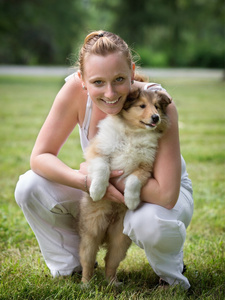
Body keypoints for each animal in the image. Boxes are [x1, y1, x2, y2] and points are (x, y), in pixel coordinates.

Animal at [78, 88, 171, 284]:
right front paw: (97, 191)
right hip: (90, 234)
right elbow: (102, 168)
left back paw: (113, 283)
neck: (133, 132)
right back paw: (86, 284)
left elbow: (133, 181)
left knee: (110, 261)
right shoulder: (98, 151)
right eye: (142, 106)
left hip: (120, 239)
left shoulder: (145, 167)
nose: (156, 117)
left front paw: (131, 201)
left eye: (157, 106)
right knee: (87, 261)